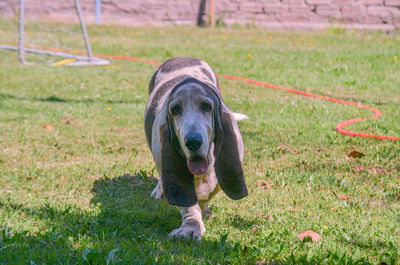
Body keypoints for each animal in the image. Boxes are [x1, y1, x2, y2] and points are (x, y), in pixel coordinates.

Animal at [145, 57, 247, 239]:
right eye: (175, 109)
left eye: (206, 106)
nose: (193, 141)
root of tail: (180, 58)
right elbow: (188, 205)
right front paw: (191, 228)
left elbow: (209, 193)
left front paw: (205, 211)